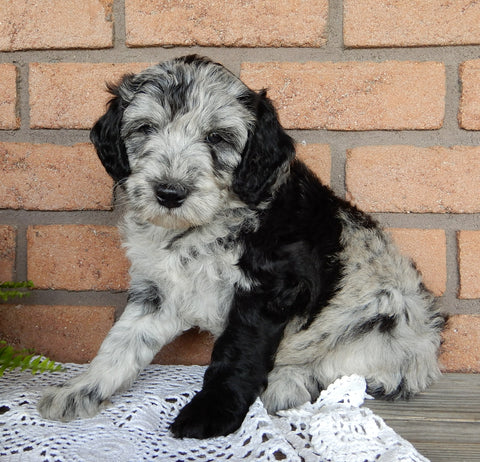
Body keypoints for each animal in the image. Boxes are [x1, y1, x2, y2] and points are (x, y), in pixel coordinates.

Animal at [37, 56, 446, 438]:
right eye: (145, 128)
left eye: (217, 138)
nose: (169, 193)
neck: (198, 228)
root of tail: (428, 345)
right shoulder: (158, 291)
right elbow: (122, 342)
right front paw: (80, 390)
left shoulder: (266, 288)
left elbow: (238, 354)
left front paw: (210, 414)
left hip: (375, 329)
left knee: (346, 373)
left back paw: (285, 383)